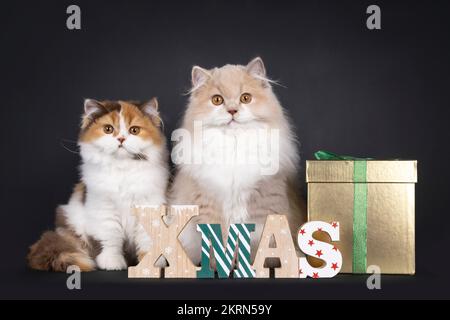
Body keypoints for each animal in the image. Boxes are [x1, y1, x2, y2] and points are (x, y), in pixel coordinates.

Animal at [28, 99, 169, 272]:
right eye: (108, 129)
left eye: (134, 130)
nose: (121, 138)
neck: (122, 169)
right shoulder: (104, 208)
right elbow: (111, 238)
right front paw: (112, 262)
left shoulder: (149, 204)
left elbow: (146, 238)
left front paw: (151, 264)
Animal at [171, 57, 308, 264]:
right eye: (217, 100)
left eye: (245, 98)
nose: (232, 111)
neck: (234, 147)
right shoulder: (209, 205)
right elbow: (216, 245)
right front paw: (220, 267)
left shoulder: (263, 207)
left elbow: (256, 247)